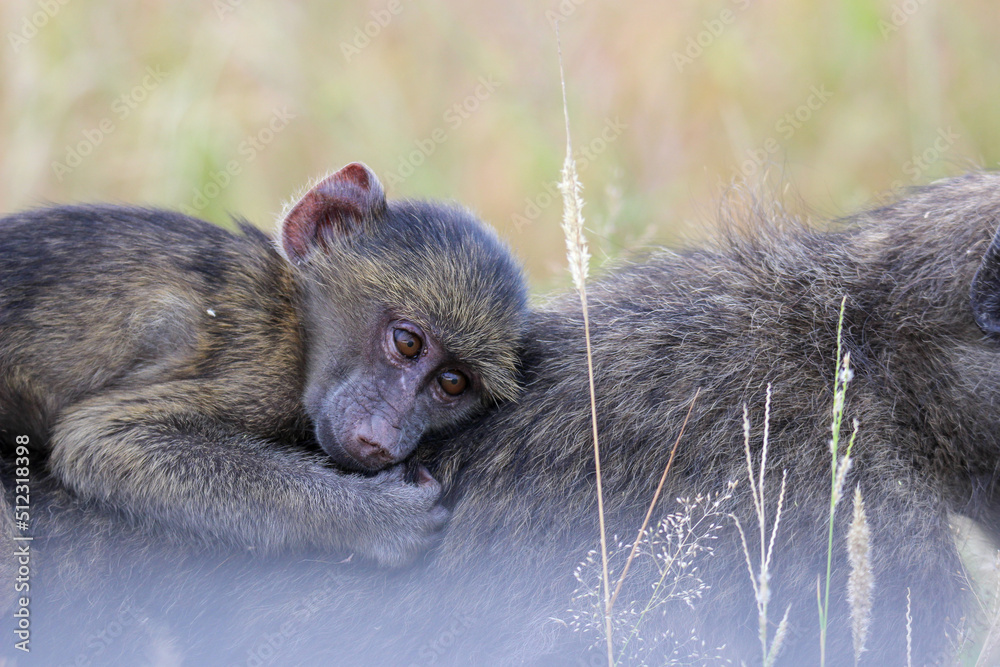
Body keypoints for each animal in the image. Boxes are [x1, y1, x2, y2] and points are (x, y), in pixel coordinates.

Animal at [0, 161, 528, 569]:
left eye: (453, 382)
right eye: (407, 342)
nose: (382, 438)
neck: (293, 316)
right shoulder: (260, 362)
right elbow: (100, 439)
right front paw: (378, 517)